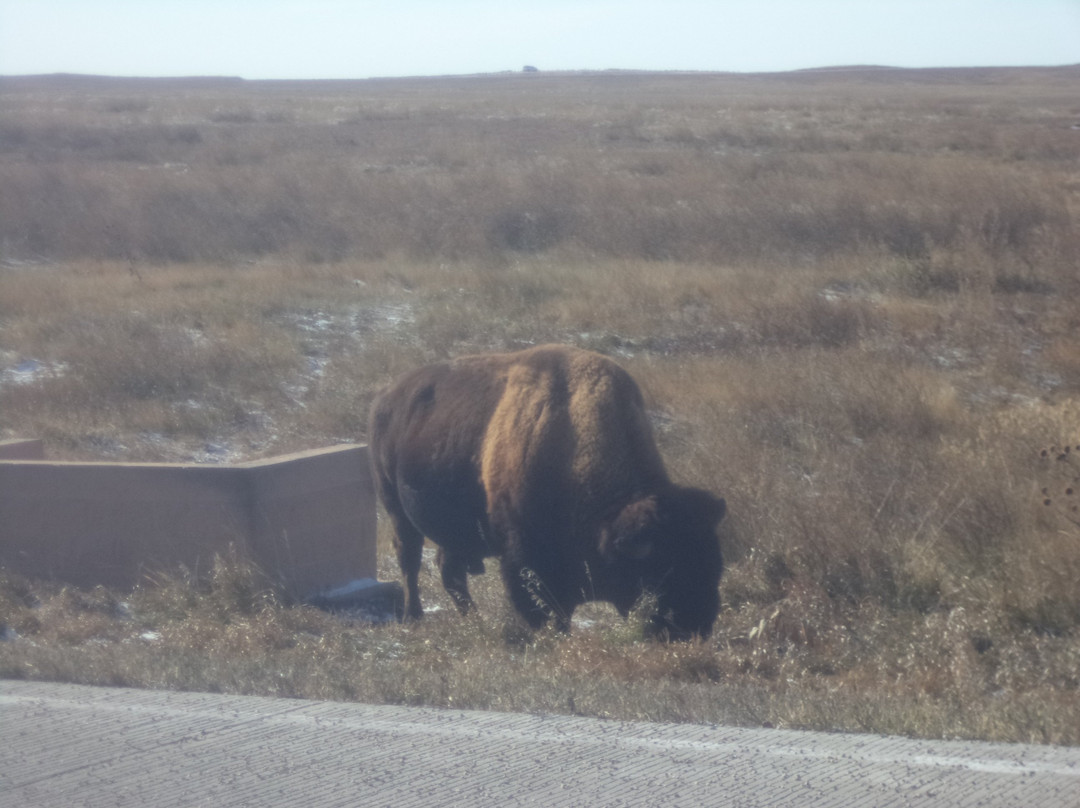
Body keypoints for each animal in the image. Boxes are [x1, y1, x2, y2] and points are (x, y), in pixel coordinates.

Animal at [367, 343, 730, 639]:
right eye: (662, 570)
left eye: (714, 564)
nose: (696, 624)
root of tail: (385, 398)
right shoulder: (524, 553)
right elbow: (541, 604)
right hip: (395, 507)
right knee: (410, 558)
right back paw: (413, 616)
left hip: (452, 530)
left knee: (449, 568)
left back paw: (473, 620)